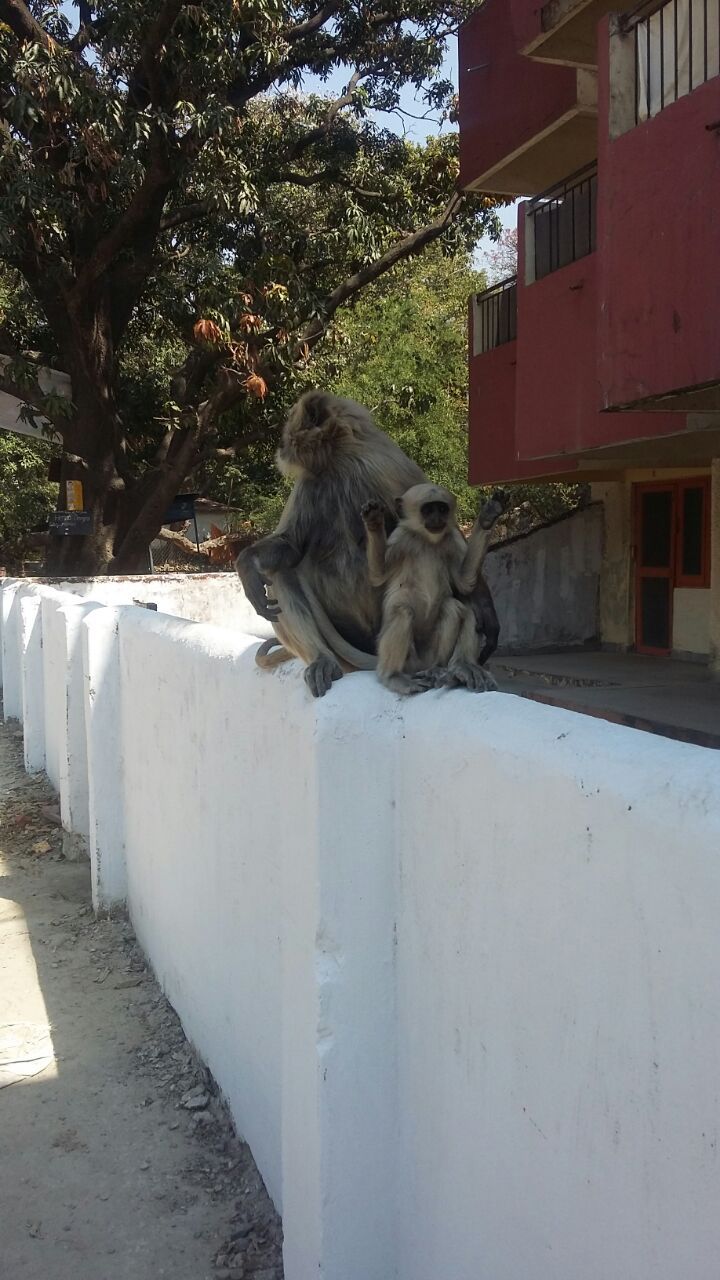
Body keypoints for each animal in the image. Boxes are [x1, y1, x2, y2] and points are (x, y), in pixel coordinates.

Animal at [358, 481, 504, 701]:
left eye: (441, 509)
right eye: (428, 510)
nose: (437, 519)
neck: (427, 540)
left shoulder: (452, 539)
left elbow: (465, 583)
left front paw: (488, 517)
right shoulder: (402, 537)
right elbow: (377, 576)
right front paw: (374, 521)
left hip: (430, 654)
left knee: (458, 608)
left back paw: (451, 667)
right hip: (410, 660)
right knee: (403, 611)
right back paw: (392, 675)